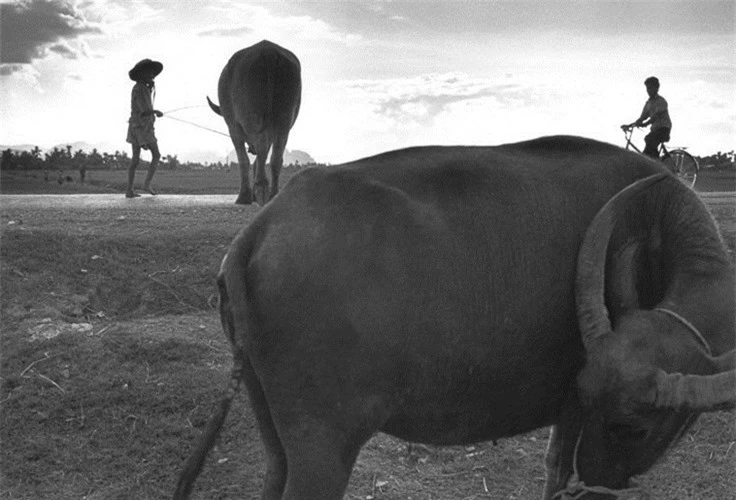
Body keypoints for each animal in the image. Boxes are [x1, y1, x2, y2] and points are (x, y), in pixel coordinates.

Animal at [175, 137, 732, 500]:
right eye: (630, 427)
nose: (597, 483)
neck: (654, 222)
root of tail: (261, 228)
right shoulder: (576, 408)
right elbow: (557, 470)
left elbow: (553, 465)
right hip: (324, 444)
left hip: (269, 419)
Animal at [206, 40, 300, 205]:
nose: (251, 149)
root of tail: (269, 52)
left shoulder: (233, 127)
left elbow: (243, 160)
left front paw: (245, 195)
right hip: (285, 116)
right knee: (276, 155)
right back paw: (272, 194)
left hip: (253, 115)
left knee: (261, 144)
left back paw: (261, 187)